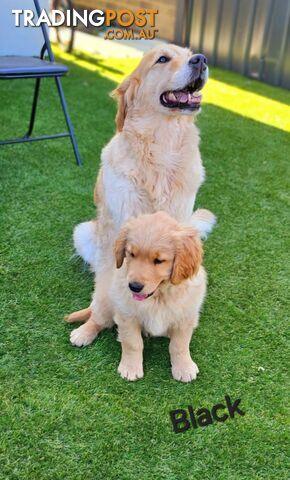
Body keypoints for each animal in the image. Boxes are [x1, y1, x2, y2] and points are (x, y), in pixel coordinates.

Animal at [67, 213, 207, 382]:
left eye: (159, 261)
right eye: (132, 254)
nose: (134, 286)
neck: (158, 296)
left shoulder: (185, 318)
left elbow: (179, 345)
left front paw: (184, 368)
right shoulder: (127, 316)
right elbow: (133, 343)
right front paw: (130, 368)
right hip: (105, 300)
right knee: (96, 319)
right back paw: (82, 333)